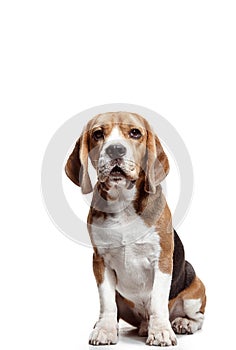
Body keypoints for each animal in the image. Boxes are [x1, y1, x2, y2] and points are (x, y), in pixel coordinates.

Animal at [65, 113, 206, 348]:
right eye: (97, 134)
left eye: (135, 133)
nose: (115, 150)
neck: (123, 202)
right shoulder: (100, 261)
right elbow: (107, 302)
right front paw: (104, 330)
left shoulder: (162, 260)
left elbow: (158, 301)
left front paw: (161, 332)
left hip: (195, 289)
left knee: (197, 317)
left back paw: (182, 323)